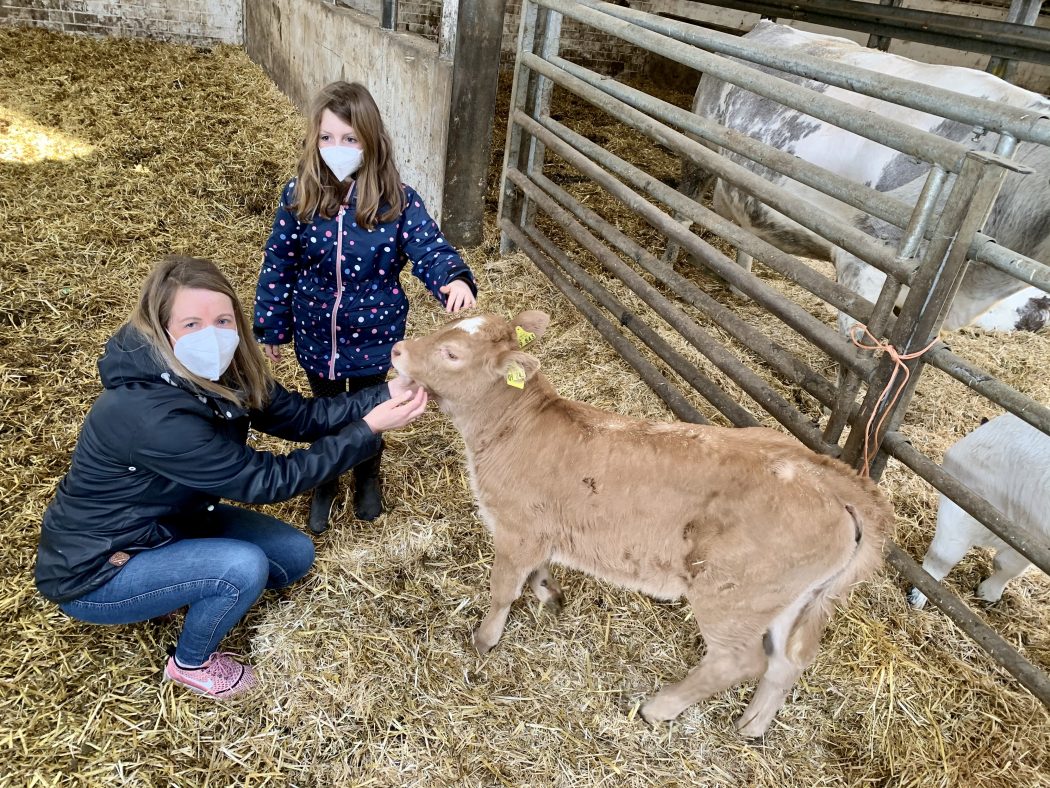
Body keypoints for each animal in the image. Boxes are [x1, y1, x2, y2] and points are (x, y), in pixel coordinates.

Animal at [390, 310, 890, 739]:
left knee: (739, 662)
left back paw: (659, 707)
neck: (514, 426)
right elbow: (538, 572)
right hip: (789, 601)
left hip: (733, 596)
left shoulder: (516, 528)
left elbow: (502, 591)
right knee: (787, 662)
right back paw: (751, 726)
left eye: (452, 353)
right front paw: (550, 594)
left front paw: (484, 639)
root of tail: (821, 472)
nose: (398, 348)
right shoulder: (542, 529)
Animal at [907, 420, 1045, 609]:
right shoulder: (964, 502)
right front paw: (919, 594)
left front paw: (988, 594)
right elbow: (942, 557)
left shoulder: (1028, 544)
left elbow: (1007, 566)